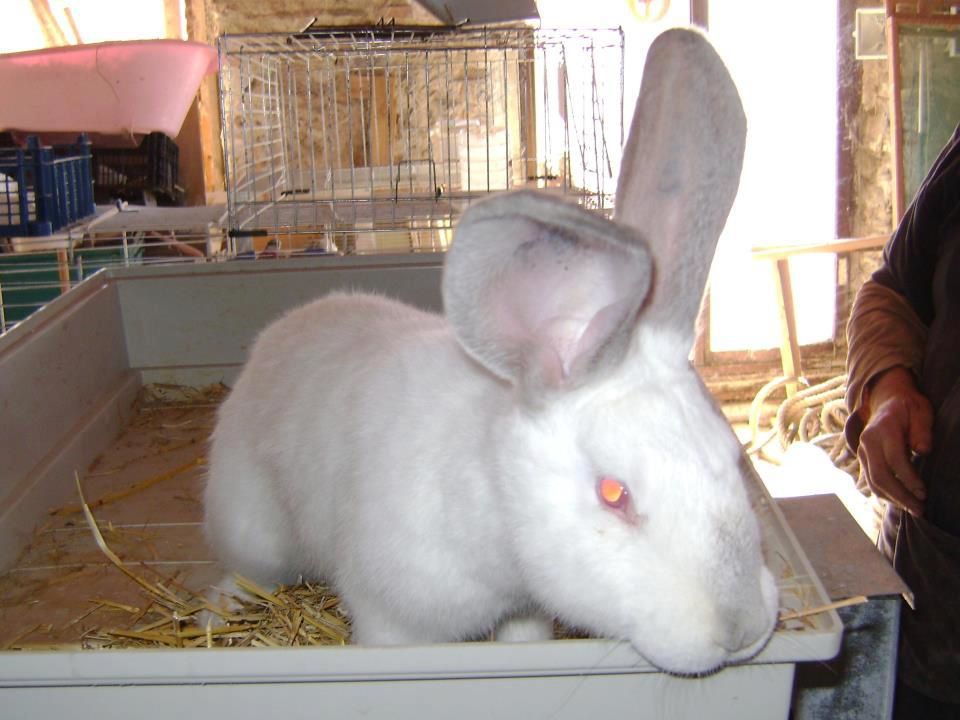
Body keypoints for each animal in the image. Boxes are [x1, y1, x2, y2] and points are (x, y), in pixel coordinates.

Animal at [204, 29, 780, 676]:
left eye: (733, 455)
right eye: (614, 494)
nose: (743, 630)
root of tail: (276, 335)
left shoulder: (524, 617)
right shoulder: (392, 622)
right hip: (253, 525)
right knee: (244, 572)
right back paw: (214, 615)